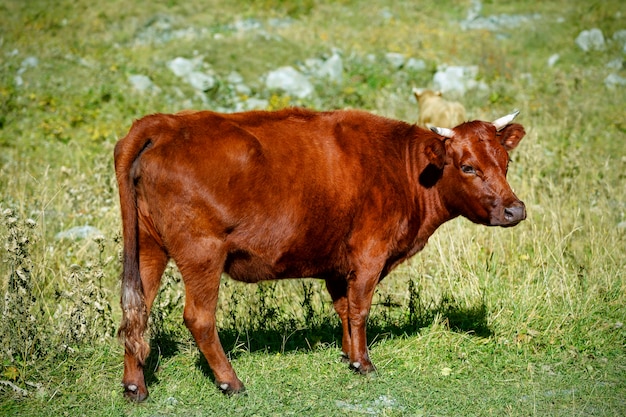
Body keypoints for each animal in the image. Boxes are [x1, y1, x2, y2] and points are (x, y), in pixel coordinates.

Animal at [114, 105, 524, 398]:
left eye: (505, 162)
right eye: (468, 167)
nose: (515, 210)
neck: (403, 168)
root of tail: (162, 124)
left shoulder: (337, 265)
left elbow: (343, 308)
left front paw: (347, 354)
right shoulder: (369, 253)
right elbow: (359, 309)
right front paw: (364, 364)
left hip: (148, 247)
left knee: (136, 311)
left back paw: (136, 386)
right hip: (202, 253)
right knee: (198, 317)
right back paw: (231, 382)